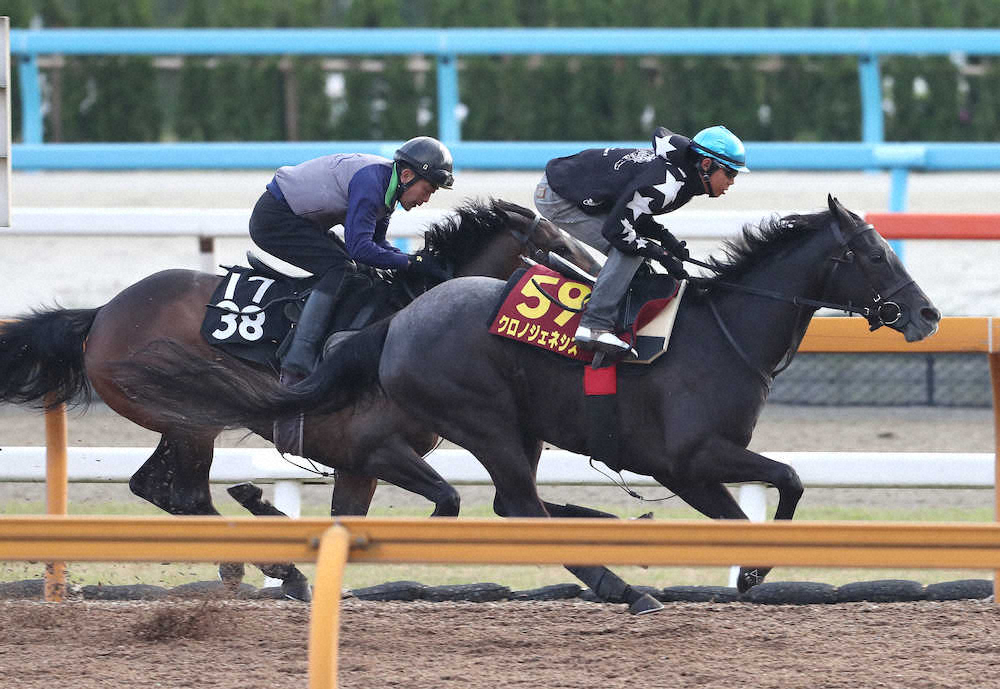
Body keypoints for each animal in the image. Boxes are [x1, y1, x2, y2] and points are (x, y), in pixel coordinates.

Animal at [0, 198, 596, 596]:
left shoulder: (358, 466)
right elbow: (447, 500)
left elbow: (352, 518)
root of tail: (102, 314)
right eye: (560, 248)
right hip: (191, 419)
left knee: (155, 487)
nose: (599, 292)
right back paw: (271, 565)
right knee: (185, 494)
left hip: (182, 423)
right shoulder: (375, 449)